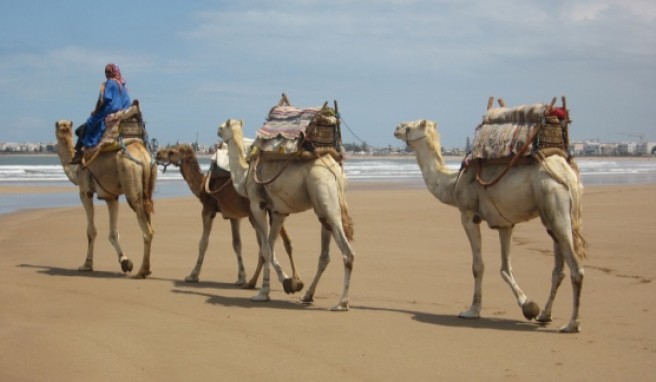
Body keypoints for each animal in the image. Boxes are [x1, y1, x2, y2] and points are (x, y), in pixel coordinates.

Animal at [54, 119, 156, 278]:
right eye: (61, 126)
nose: (62, 125)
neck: (76, 168)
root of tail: (144, 159)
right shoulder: (110, 197)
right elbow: (113, 233)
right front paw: (125, 262)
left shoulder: (85, 190)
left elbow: (91, 231)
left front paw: (86, 265)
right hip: (149, 187)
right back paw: (147, 269)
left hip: (131, 182)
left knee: (147, 230)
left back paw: (142, 271)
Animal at [156, 145, 302, 288]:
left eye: (171, 151)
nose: (157, 155)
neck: (202, 186)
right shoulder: (234, 216)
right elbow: (237, 244)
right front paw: (241, 277)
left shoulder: (208, 210)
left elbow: (203, 243)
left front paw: (192, 275)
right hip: (273, 211)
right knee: (284, 242)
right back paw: (294, 279)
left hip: (255, 213)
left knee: (265, 246)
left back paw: (270, 280)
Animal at [219, 118, 354, 310]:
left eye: (223, 126)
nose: (217, 131)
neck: (244, 175)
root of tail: (335, 170)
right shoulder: (278, 212)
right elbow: (270, 247)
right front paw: (290, 283)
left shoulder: (257, 205)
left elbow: (265, 250)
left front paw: (263, 293)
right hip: (325, 209)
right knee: (325, 256)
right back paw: (307, 295)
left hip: (326, 201)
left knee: (347, 252)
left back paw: (341, 303)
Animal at [392, 118, 588, 332]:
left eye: (409, 126)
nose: (396, 128)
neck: (453, 183)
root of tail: (568, 176)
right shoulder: (505, 224)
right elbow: (505, 268)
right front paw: (529, 306)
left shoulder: (468, 215)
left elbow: (478, 266)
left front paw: (472, 310)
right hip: (553, 216)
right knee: (558, 270)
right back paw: (545, 315)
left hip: (554, 203)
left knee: (576, 269)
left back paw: (572, 324)